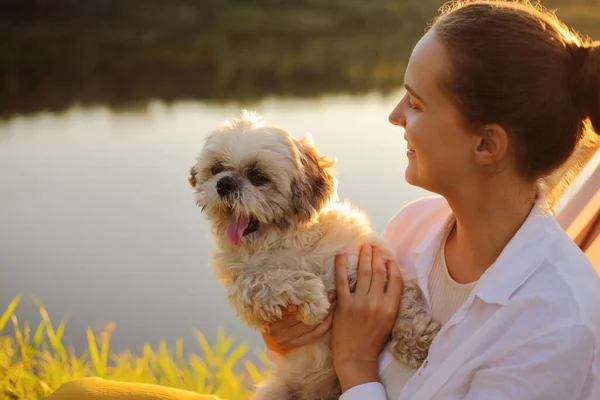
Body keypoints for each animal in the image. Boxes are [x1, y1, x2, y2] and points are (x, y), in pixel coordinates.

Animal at [188, 110, 440, 400]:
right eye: (216, 169)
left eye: (258, 175)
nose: (224, 184)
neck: (284, 240)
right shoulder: (244, 293)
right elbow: (267, 279)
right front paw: (314, 299)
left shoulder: (376, 265)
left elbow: (407, 304)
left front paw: (418, 341)